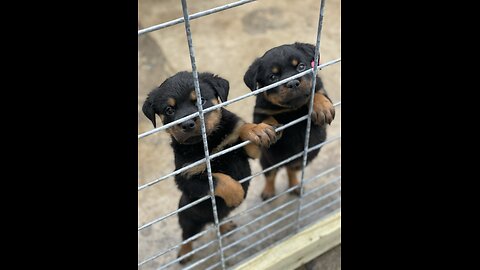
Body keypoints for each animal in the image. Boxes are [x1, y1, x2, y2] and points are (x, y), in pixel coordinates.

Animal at [142, 71, 278, 264]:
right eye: (169, 110)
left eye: (201, 100)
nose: (187, 124)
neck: (208, 142)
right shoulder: (186, 178)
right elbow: (217, 179)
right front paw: (237, 195)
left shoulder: (247, 152)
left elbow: (241, 130)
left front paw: (256, 130)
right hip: (188, 217)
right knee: (187, 236)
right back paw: (185, 254)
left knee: (217, 221)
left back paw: (224, 226)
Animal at [244, 42, 334, 200]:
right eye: (273, 77)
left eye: (301, 67)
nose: (292, 82)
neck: (292, 109)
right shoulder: (260, 111)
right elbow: (264, 119)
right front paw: (264, 130)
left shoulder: (319, 87)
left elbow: (318, 93)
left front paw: (322, 107)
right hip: (268, 161)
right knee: (271, 175)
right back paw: (268, 192)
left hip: (300, 161)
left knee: (291, 171)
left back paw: (295, 185)